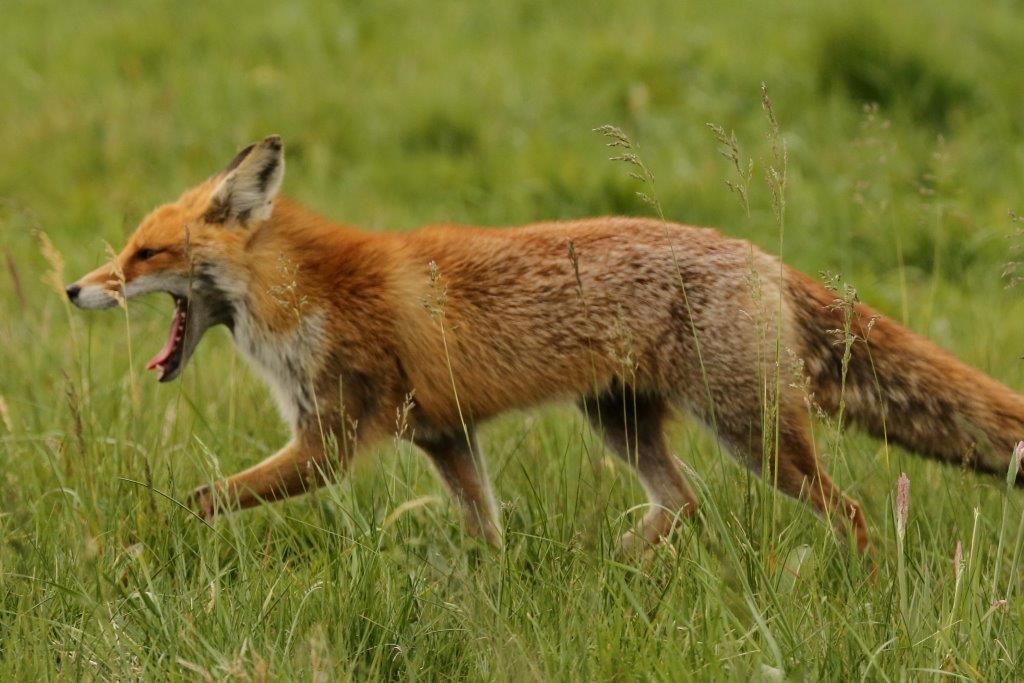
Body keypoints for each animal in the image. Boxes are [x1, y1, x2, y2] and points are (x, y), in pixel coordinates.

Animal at [67, 135, 1024, 554]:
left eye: (144, 254)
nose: (74, 289)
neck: (301, 294)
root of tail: (760, 254)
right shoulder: (443, 433)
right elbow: (485, 527)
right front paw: (490, 584)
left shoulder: (333, 437)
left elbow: (202, 499)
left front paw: (145, 543)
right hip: (622, 420)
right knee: (683, 503)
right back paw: (622, 565)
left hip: (754, 435)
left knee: (851, 511)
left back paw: (864, 579)